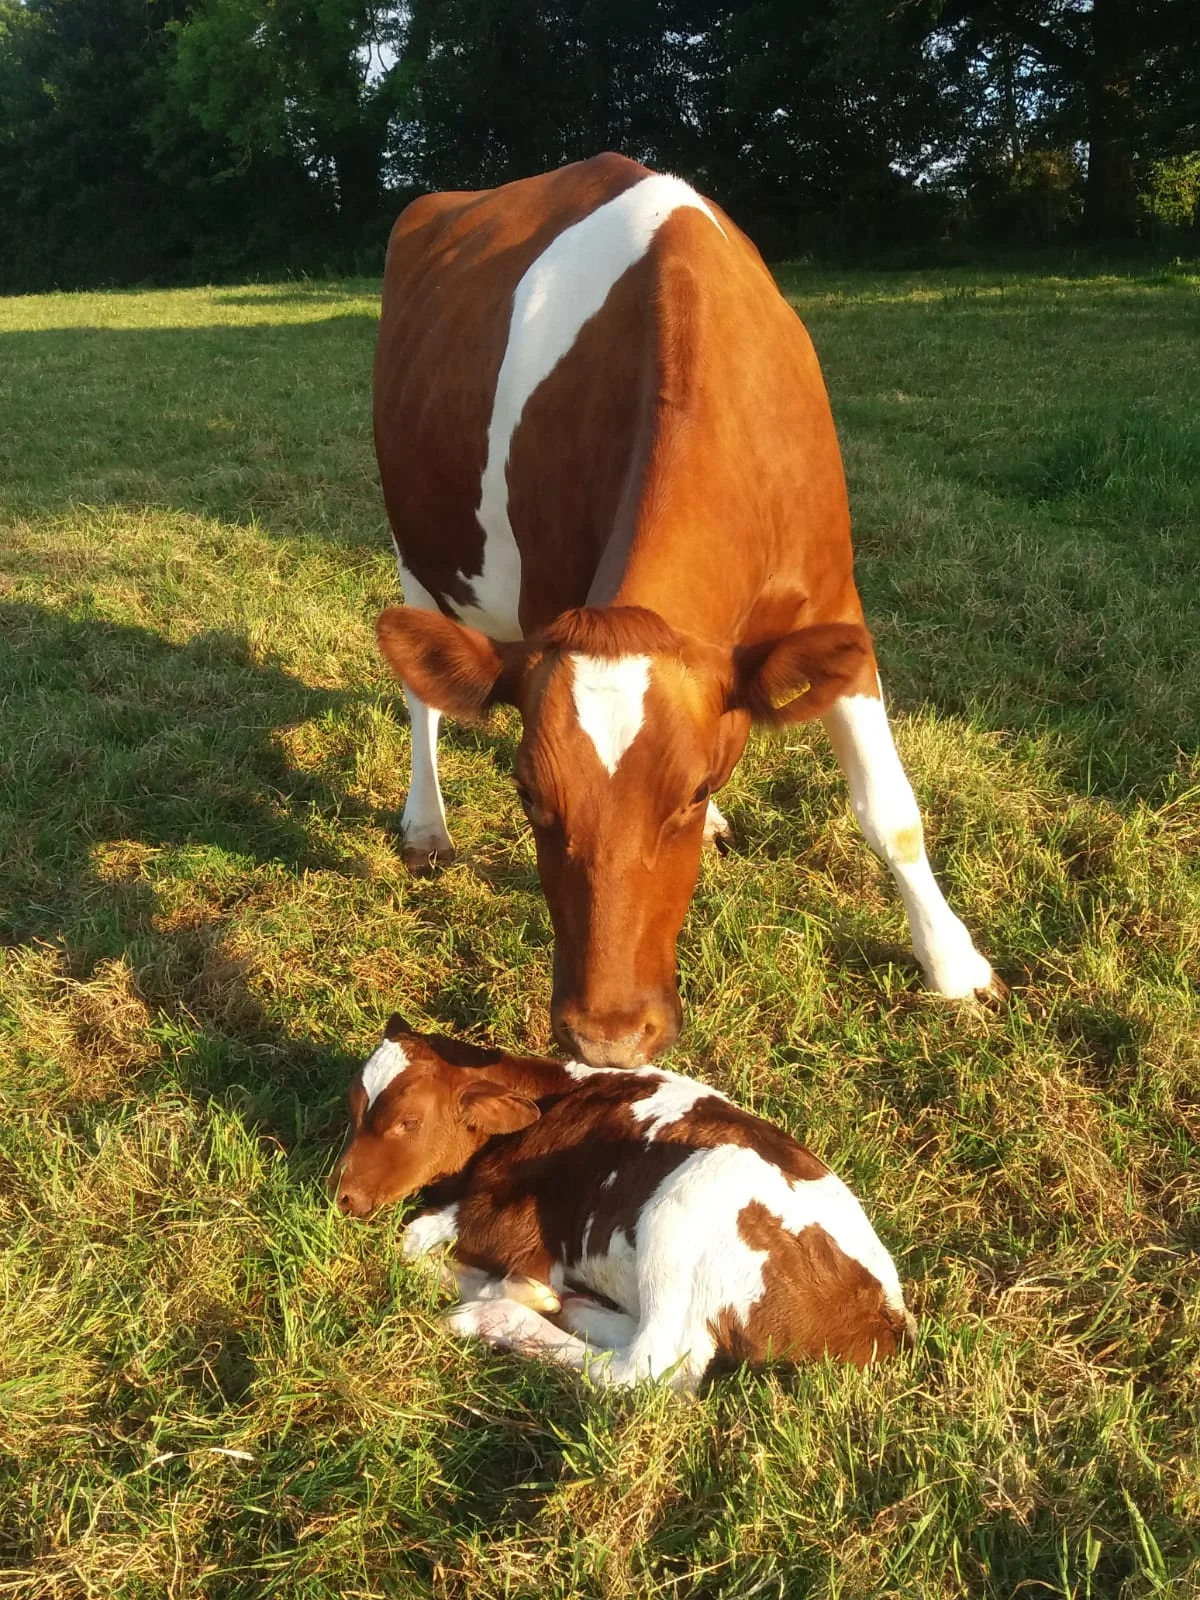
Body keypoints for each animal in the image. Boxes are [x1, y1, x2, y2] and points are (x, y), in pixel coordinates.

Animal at [332, 1018, 916, 1387]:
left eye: (409, 1122)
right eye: (353, 1107)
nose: (343, 1196)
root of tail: (883, 1317)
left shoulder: (516, 1224)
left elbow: (412, 1240)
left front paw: (516, 1288)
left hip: (688, 1202)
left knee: (650, 1372)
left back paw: (492, 1317)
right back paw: (576, 1308)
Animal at [372, 153, 998, 1068]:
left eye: (699, 785)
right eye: (528, 792)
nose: (609, 1037)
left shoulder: (836, 601)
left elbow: (893, 812)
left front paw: (953, 962)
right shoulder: (543, 599)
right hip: (416, 544)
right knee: (423, 699)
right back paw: (426, 823)